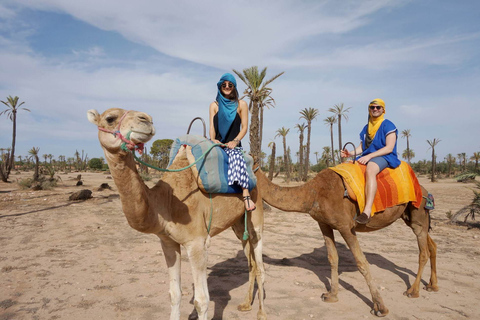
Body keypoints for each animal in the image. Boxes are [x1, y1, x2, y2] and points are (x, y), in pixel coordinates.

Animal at [86, 109, 266, 318]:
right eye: (110, 118)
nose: (146, 120)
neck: (166, 203)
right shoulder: (168, 242)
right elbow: (174, 294)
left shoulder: (197, 243)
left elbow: (201, 301)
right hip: (238, 224)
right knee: (251, 261)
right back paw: (246, 304)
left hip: (256, 214)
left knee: (260, 263)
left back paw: (262, 314)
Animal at [255, 166, 438, 316]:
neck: (312, 193)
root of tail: (424, 190)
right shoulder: (324, 223)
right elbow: (333, 258)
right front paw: (331, 295)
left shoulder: (345, 225)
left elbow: (361, 261)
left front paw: (380, 307)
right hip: (409, 216)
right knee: (432, 245)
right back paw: (432, 285)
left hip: (418, 213)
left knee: (423, 251)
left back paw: (413, 291)